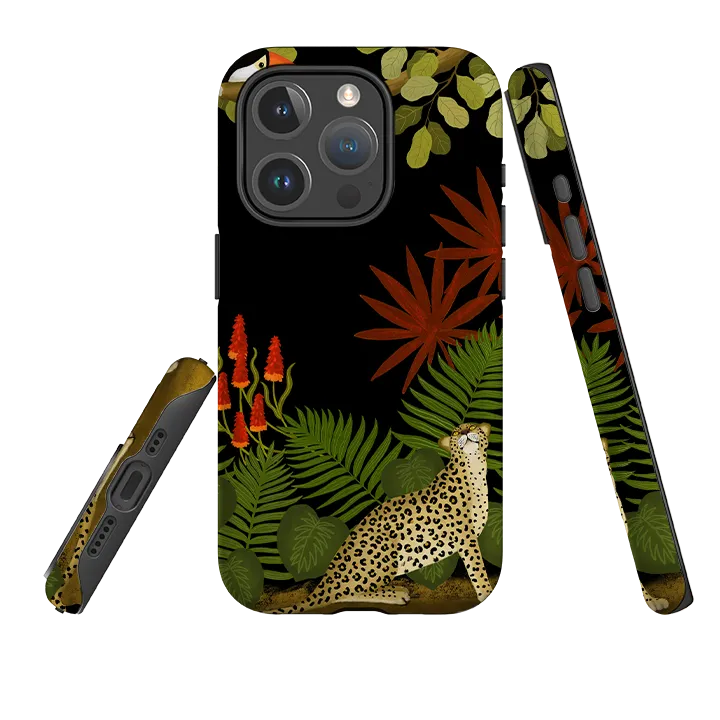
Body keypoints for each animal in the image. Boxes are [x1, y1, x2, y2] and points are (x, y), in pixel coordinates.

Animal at [271, 422, 495, 614]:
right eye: (457, 432)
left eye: (472, 426)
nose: (465, 431)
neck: (473, 469)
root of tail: (326, 580)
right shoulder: (466, 539)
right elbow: (477, 569)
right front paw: (485, 593)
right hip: (385, 552)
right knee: (344, 594)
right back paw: (396, 594)